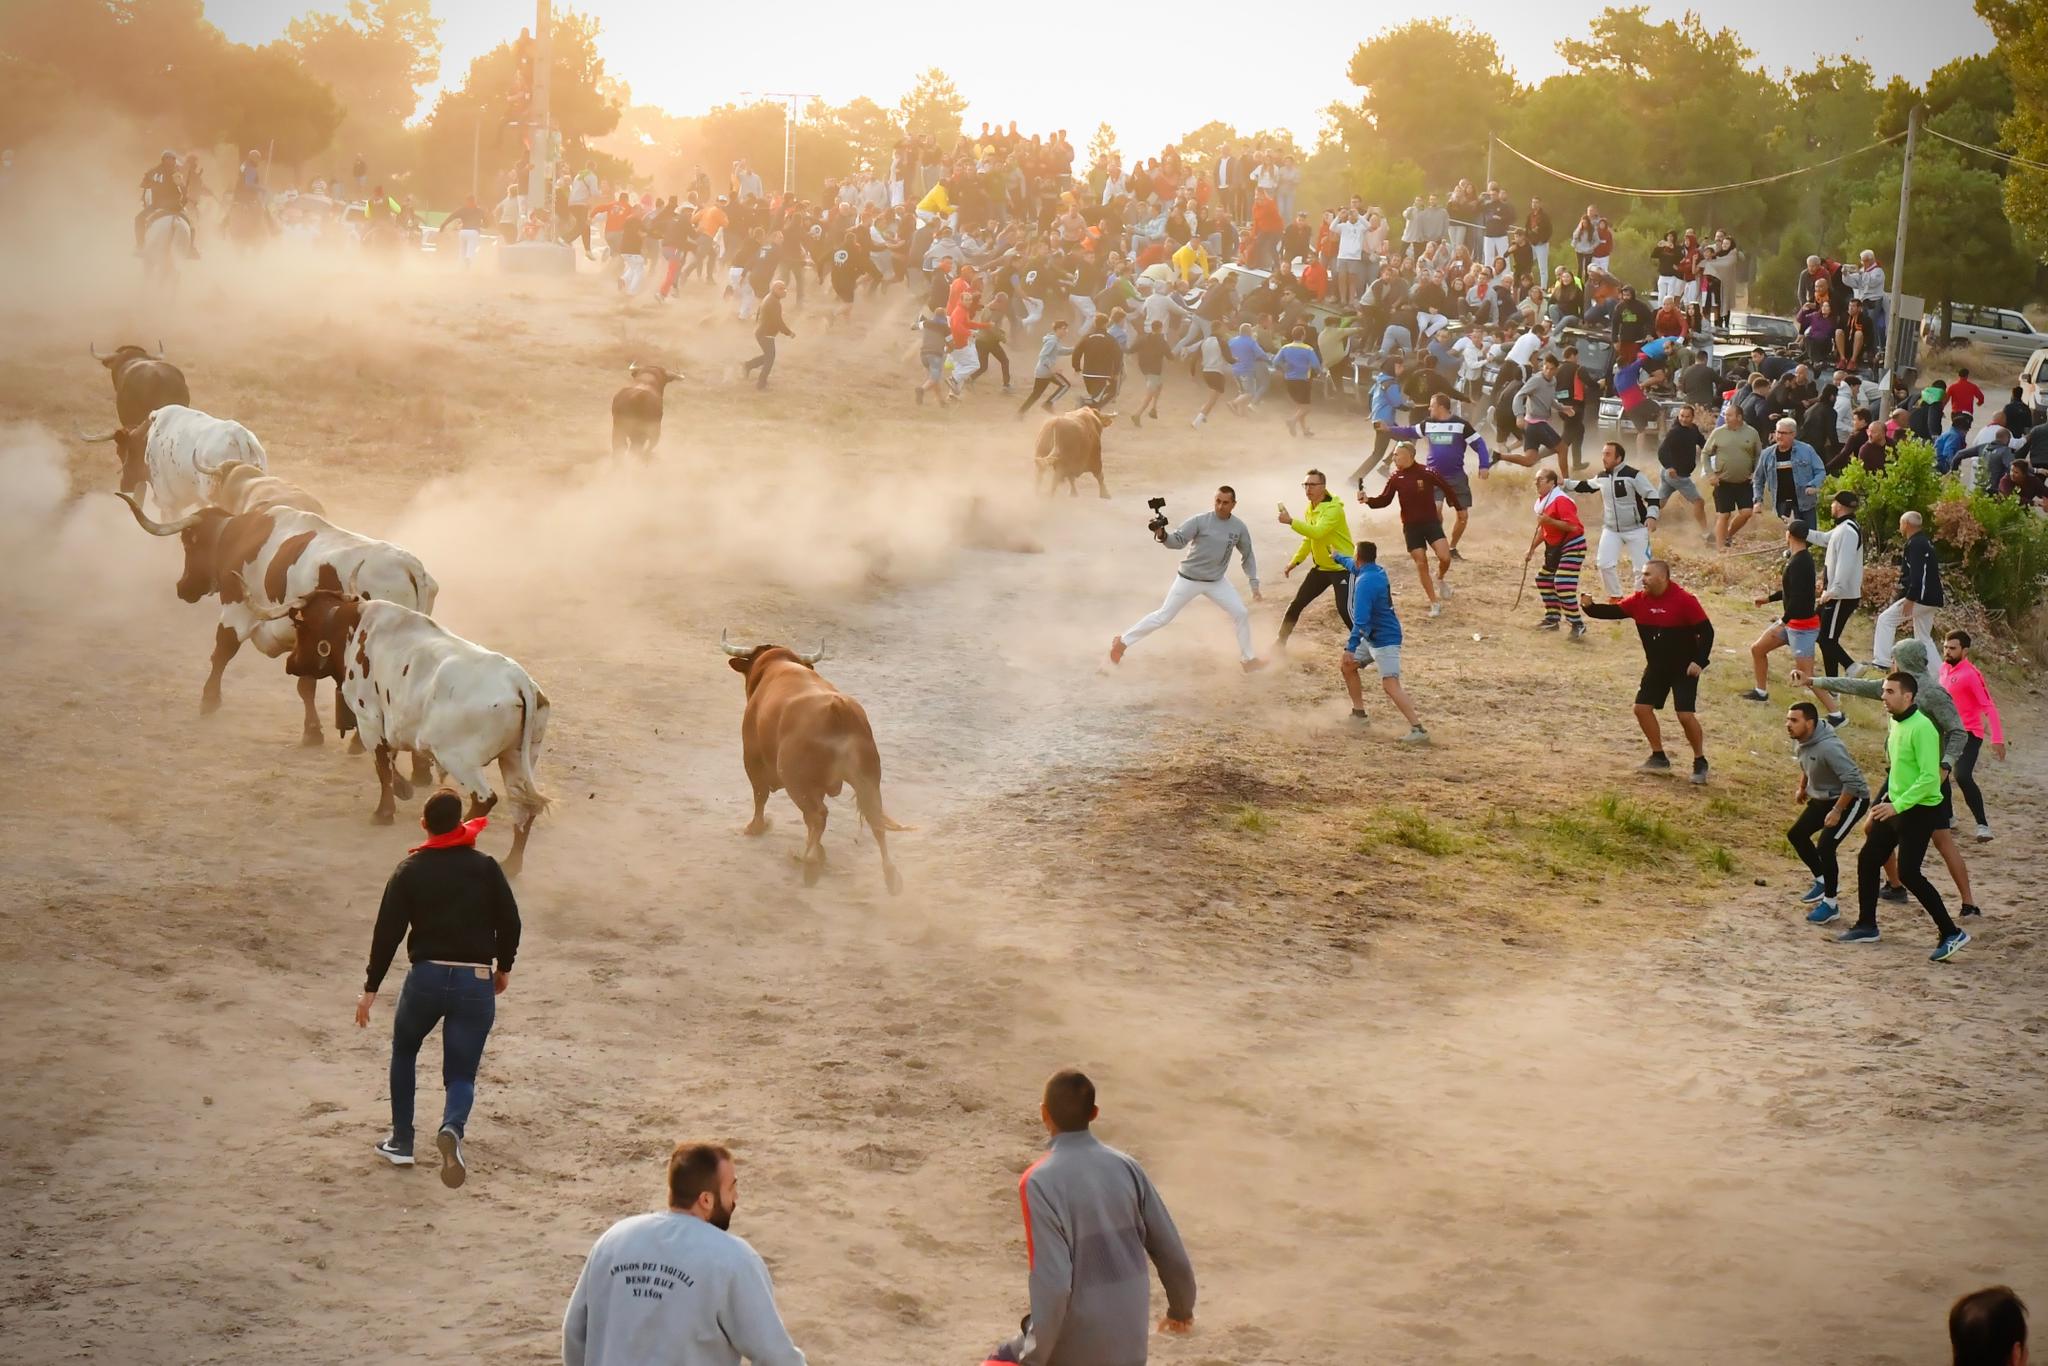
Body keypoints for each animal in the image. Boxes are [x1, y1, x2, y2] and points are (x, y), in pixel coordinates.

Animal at [280, 589, 557, 876]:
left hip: (459, 760)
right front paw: (403, 790)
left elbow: (382, 766)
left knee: (485, 799)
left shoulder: (369, 719)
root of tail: (519, 682)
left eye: (299, 629)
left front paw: (384, 813)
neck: (352, 629)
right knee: (523, 807)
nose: (289, 663)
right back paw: (512, 863)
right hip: (517, 758)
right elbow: (389, 761)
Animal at [724, 634, 909, 897]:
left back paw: (810, 864)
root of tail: (838, 708)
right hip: (868, 780)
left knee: (817, 815)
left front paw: (755, 827)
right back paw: (890, 876)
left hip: (796, 781)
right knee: (873, 820)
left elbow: (760, 795)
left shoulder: (752, 757)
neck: (777, 665)